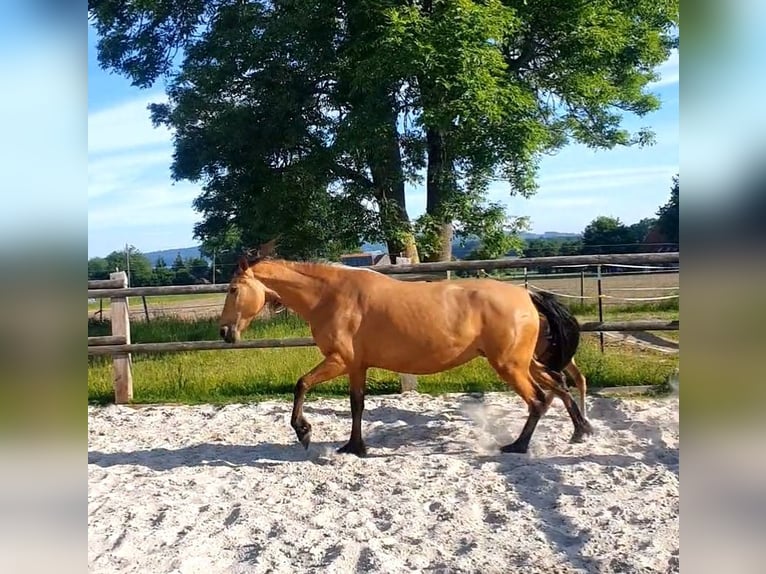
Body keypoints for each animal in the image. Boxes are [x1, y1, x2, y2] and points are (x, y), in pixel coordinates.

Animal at [219, 241, 593, 457]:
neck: (331, 296)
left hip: (510, 365)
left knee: (540, 399)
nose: (224, 332)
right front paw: (354, 447)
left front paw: (304, 432)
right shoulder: (357, 365)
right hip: (524, 362)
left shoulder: (339, 360)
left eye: (234, 289)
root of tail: (527, 295)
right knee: (559, 385)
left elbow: (301, 384)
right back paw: (580, 431)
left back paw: (518, 446)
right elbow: (357, 405)